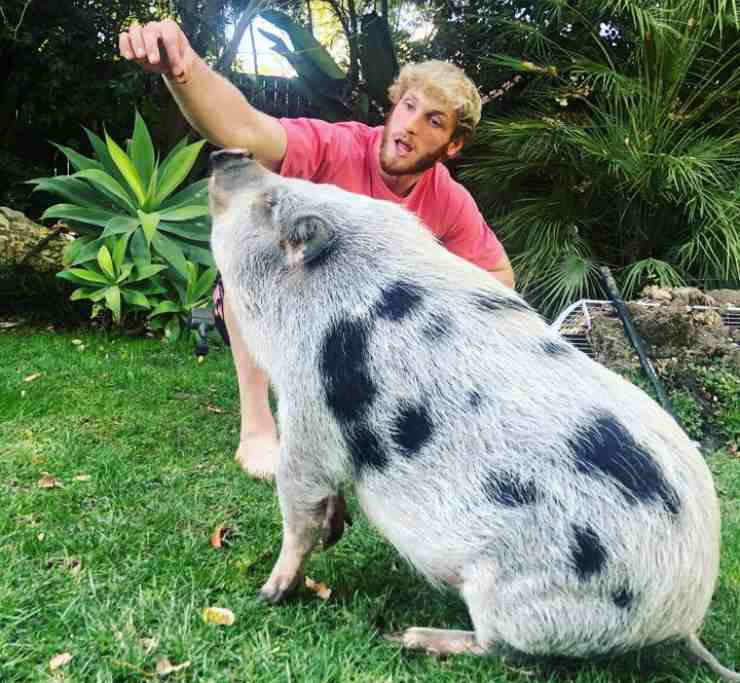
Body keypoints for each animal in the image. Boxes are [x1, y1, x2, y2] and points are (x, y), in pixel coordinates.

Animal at [208, 149, 739, 680]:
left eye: (271, 204)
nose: (226, 153)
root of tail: (684, 616)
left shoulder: (308, 406)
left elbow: (298, 500)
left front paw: (268, 593)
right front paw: (335, 530)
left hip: (519, 593)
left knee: (503, 650)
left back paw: (409, 637)